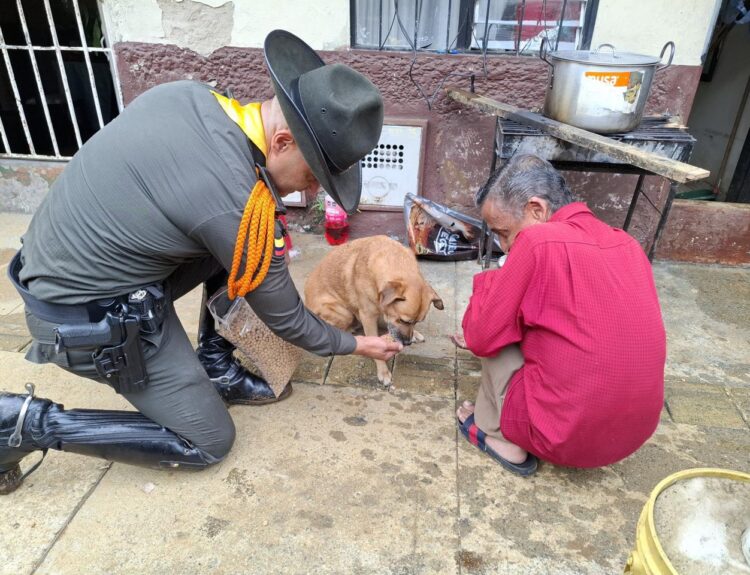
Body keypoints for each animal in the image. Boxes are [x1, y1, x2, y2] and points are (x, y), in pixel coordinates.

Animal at [306, 234, 446, 388]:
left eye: (417, 322)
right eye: (403, 320)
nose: (407, 343)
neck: (393, 258)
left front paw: (413, 333)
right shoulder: (368, 316)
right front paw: (383, 371)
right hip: (344, 314)